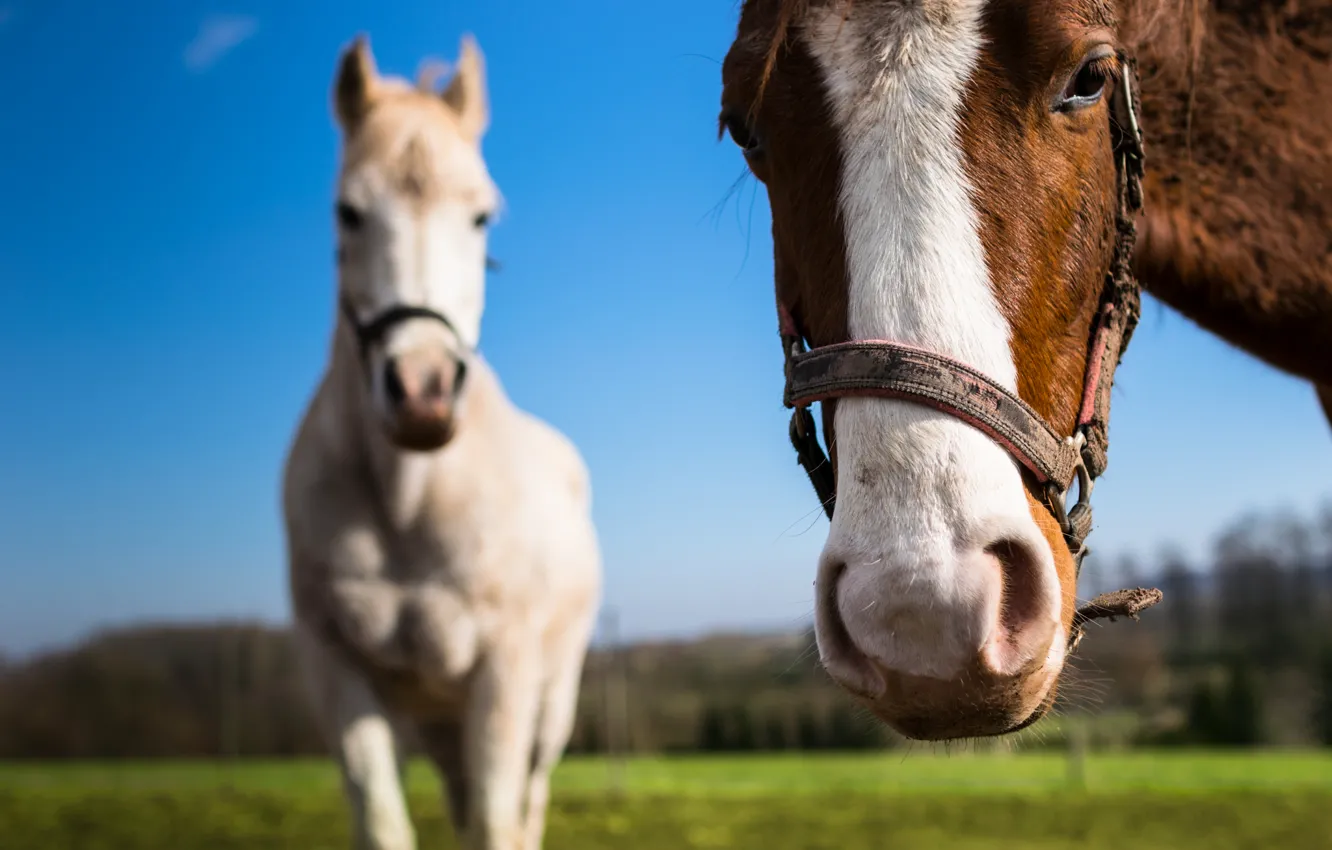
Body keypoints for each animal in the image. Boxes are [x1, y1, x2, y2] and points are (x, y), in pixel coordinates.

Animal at [282, 35, 602, 850]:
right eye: (349, 212)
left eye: (481, 217)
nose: (422, 392)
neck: (407, 500)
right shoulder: (335, 671)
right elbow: (382, 820)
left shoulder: (505, 672)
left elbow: (498, 820)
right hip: (438, 726)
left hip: (550, 704)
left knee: (525, 805)